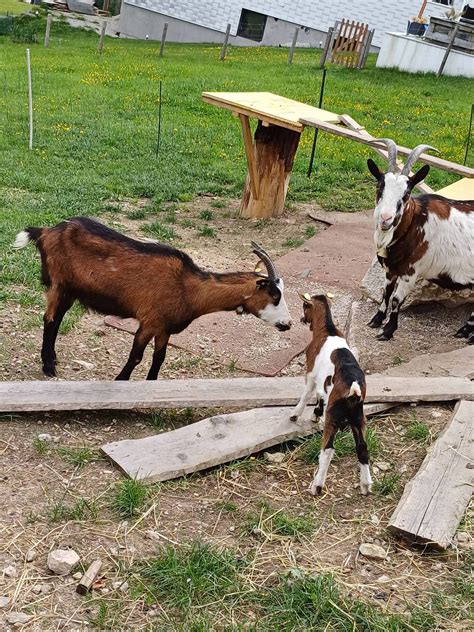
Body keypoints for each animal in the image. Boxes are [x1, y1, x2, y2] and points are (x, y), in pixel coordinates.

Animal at [12, 215, 290, 378]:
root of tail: (46, 231)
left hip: (70, 291)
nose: (287, 324)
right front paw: (121, 381)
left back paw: (53, 359)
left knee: (56, 320)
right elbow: (136, 356)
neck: (188, 287)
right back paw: (48, 367)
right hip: (59, 284)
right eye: (274, 294)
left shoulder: (165, 328)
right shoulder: (149, 322)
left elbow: (159, 359)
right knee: (49, 319)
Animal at [288, 294, 370, 496]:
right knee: (362, 447)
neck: (327, 330)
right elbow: (319, 394)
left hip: (333, 415)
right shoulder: (324, 382)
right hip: (358, 417)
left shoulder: (310, 372)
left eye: (305, 306)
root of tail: (354, 389)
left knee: (328, 449)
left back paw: (316, 486)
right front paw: (315, 415)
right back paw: (366, 486)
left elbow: (307, 393)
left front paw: (295, 414)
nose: (301, 319)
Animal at [368, 139, 472, 340]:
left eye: (406, 194)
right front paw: (376, 320)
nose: (385, 218)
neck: (414, 225)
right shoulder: (391, 270)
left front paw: (387, 331)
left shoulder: (411, 272)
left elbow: (396, 300)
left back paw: (466, 332)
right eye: (379, 187)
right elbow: (386, 293)